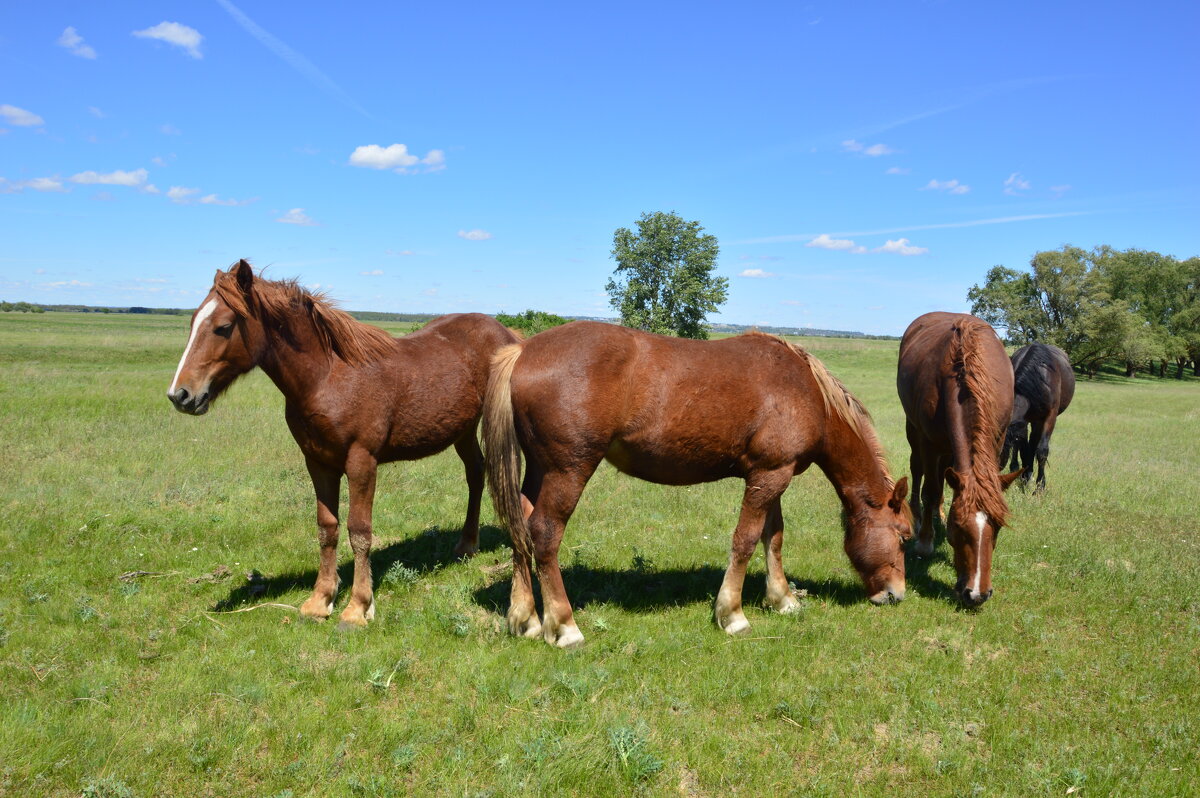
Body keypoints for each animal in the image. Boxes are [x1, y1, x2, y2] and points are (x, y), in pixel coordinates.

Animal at [168, 261, 520, 628]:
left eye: (223, 327)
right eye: (192, 322)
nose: (180, 395)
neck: (328, 377)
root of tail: (509, 336)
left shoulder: (361, 463)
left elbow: (359, 531)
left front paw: (358, 607)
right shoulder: (318, 463)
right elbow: (327, 529)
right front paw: (320, 599)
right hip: (463, 431)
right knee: (476, 473)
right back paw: (467, 545)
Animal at [484, 319, 907, 648]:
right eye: (903, 536)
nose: (896, 594)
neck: (806, 390)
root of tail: (522, 351)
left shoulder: (774, 474)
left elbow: (773, 537)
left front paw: (782, 599)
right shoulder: (769, 476)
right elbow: (745, 540)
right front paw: (732, 614)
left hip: (540, 470)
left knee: (521, 529)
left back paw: (526, 618)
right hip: (568, 470)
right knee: (544, 534)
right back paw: (564, 626)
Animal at [897, 309, 1017, 604]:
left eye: (998, 527)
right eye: (959, 528)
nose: (976, 594)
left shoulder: (997, 441)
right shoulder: (929, 443)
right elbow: (930, 490)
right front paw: (926, 542)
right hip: (914, 431)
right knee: (919, 471)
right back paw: (920, 515)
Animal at [998, 338, 1075, 489]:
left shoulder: (1049, 417)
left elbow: (1042, 451)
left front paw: (1040, 486)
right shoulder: (1023, 420)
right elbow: (1022, 447)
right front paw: (1025, 476)